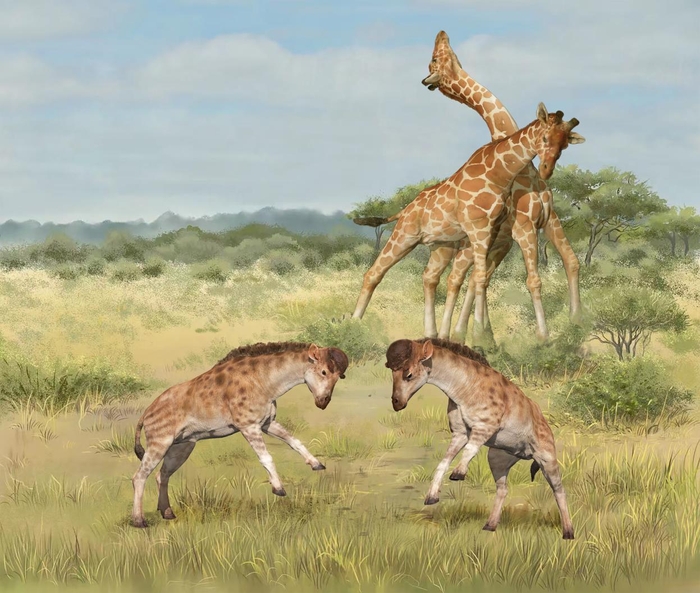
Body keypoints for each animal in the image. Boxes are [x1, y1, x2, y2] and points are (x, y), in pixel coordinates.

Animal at [130, 341, 348, 528]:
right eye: (324, 371)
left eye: (339, 376)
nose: (323, 402)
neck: (263, 381)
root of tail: (146, 414)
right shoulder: (249, 427)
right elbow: (266, 457)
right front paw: (278, 489)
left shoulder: (267, 424)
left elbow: (294, 441)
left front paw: (317, 464)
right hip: (160, 443)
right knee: (139, 476)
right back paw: (139, 521)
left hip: (181, 447)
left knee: (162, 475)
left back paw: (167, 513)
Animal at [352, 104, 584, 341]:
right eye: (545, 137)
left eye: (565, 144)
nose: (546, 169)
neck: (499, 174)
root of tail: (404, 210)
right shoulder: (490, 228)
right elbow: (485, 278)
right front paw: (485, 336)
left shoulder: (499, 231)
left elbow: (480, 278)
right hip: (404, 236)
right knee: (374, 273)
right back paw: (353, 324)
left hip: (442, 247)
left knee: (431, 277)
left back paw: (433, 334)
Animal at [385, 338, 574, 540]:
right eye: (391, 373)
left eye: (408, 374)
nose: (396, 402)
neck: (463, 388)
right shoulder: (460, 433)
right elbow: (443, 463)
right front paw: (432, 496)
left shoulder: (485, 426)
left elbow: (470, 449)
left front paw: (458, 473)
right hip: (497, 459)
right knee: (503, 489)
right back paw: (490, 525)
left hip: (547, 458)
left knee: (559, 489)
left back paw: (568, 532)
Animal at [422, 31, 582, 341]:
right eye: (434, 59)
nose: (442, 34)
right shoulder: (522, 227)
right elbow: (532, 280)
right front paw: (543, 337)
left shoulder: (546, 220)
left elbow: (571, 260)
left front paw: (577, 323)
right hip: (471, 244)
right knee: (452, 277)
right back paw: (455, 334)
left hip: (489, 244)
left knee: (466, 278)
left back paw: (467, 334)